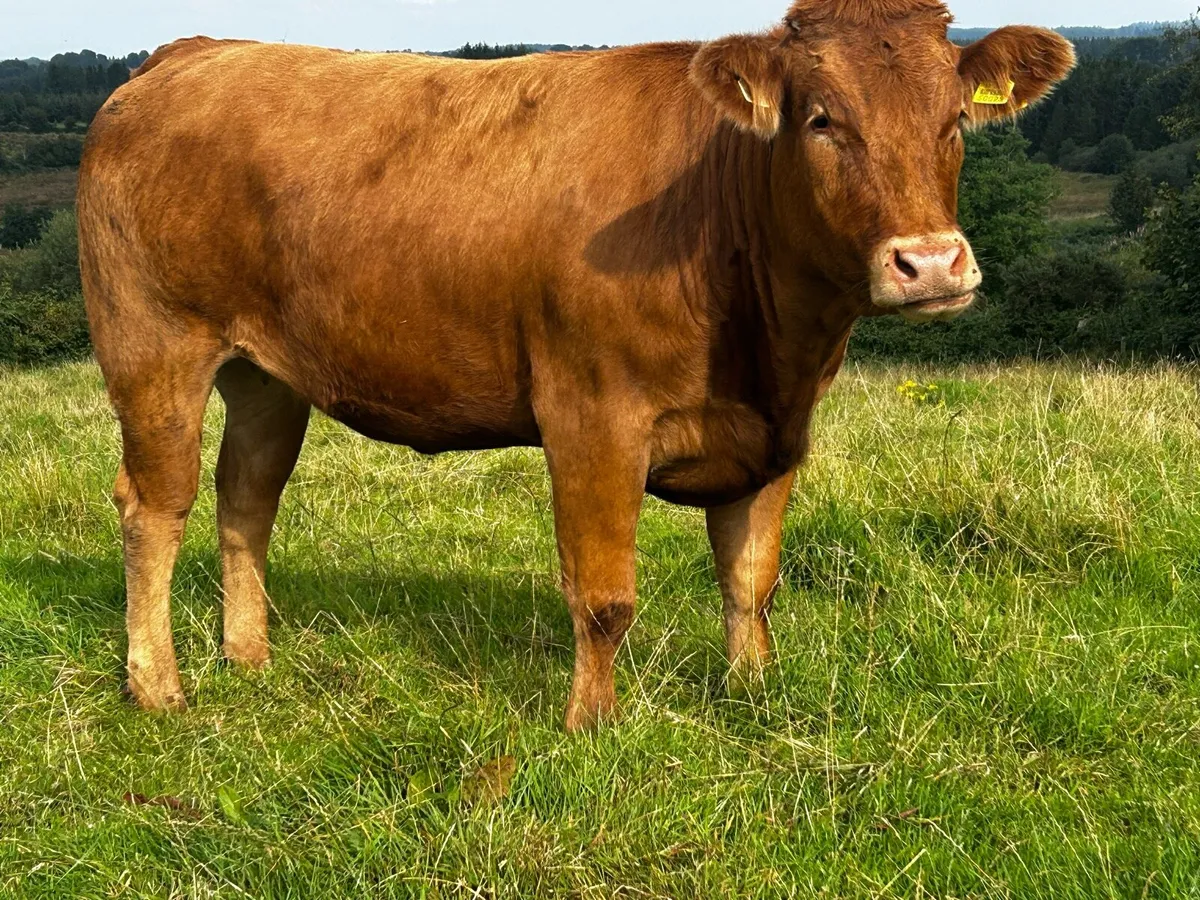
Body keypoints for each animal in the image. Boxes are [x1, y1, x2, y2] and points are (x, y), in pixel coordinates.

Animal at [78, 0, 1074, 731]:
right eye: (822, 120)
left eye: (954, 121)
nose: (930, 263)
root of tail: (192, 52)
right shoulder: (593, 416)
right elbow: (603, 595)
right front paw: (591, 727)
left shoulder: (777, 431)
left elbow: (751, 582)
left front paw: (751, 697)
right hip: (153, 346)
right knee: (154, 506)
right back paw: (157, 686)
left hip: (268, 374)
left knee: (245, 497)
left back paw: (249, 658)